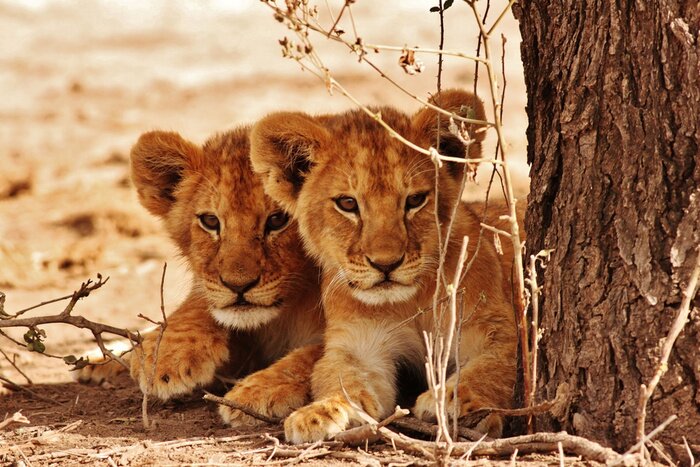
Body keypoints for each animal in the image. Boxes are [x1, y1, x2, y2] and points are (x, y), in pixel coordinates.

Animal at [76, 127, 325, 425]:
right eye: (210, 221)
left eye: (278, 220)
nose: (238, 286)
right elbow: (198, 303)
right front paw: (165, 353)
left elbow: (323, 350)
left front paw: (260, 390)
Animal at [250, 89, 518, 443]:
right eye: (347, 203)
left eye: (415, 200)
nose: (386, 264)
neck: (410, 302)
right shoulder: (359, 345)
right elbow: (342, 379)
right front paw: (320, 412)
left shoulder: (496, 328)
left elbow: (492, 367)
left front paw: (450, 400)